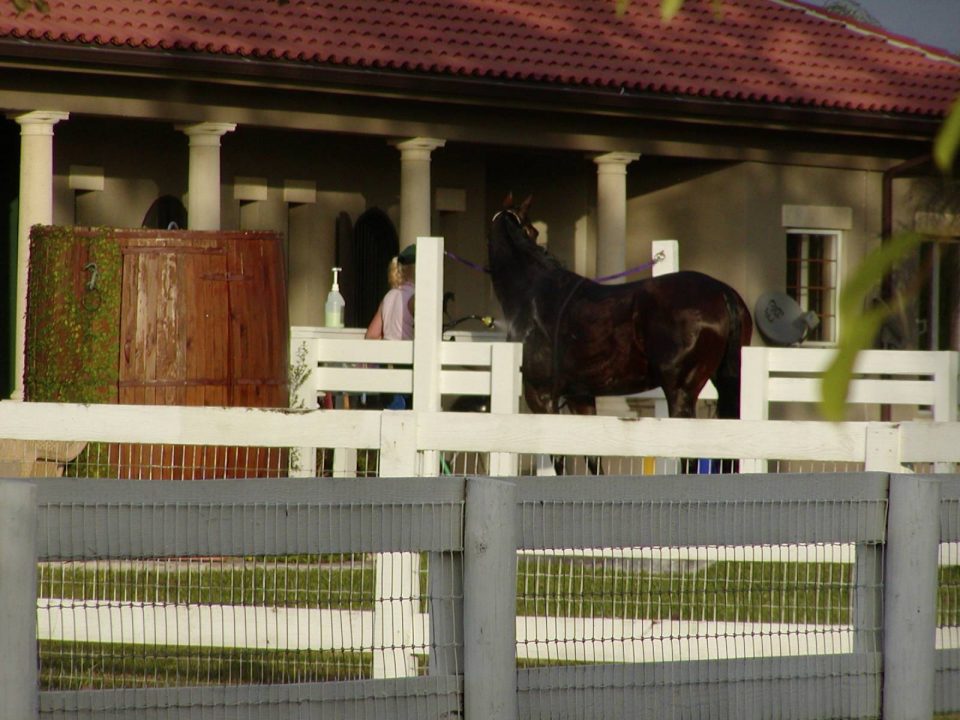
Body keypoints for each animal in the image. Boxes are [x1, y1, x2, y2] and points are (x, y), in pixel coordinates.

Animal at [492, 197, 752, 466]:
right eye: (532, 231)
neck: (534, 294)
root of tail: (722, 292)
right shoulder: (580, 395)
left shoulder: (540, 395)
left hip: (680, 391)